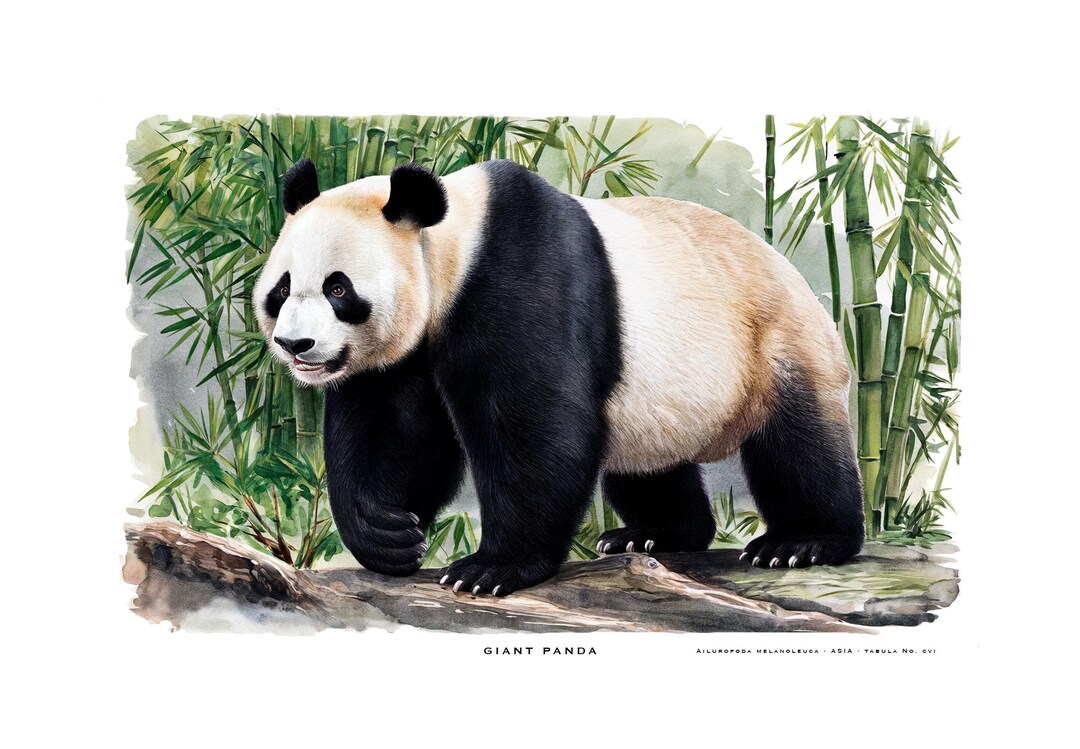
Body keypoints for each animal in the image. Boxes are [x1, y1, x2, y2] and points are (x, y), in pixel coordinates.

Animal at [254, 156, 864, 597]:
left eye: (338, 288)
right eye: (281, 289)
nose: (295, 345)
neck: (452, 245)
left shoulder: (520, 277)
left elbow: (537, 427)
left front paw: (491, 568)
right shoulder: (407, 350)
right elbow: (395, 433)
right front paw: (390, 535)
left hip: (773, 341)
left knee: (799, 445)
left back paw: (801, 543)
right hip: (656, 405)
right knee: (649, 466)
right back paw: (654, 534)